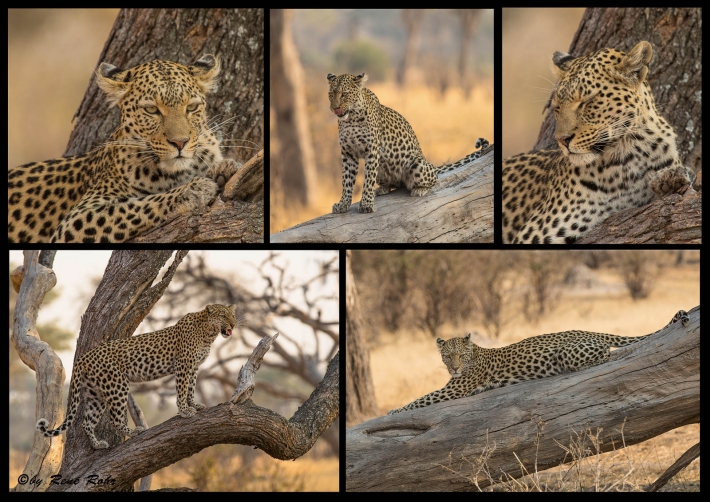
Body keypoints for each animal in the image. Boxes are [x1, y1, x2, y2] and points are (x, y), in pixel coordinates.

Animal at [8, 54, 240, 243]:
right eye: (151, 110)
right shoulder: (77, 218)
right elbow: (137, 205)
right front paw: (192, 191)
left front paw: (225, 168)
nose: (180, 142)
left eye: (191, 107)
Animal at [37, 304, 242, 449]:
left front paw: (194, 405)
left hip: (96, 393)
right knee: (115, 418)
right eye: (223, 315)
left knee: (86, 423)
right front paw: (184, 410)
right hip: (117, 384)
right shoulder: (184, 365)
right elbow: (182, 388)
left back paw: (97, 445)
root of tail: (84, 356)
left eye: (233, 315)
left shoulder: (194, 367)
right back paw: (134, 432)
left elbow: (191, 387)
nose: (233, 324)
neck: (208, 334)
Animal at [327, 72, 491, 214]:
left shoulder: (372, 151)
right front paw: (343, 204)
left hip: (417, 164)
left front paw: (367, 204)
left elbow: (368, 179)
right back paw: (382, 189)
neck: (351, 119)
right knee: (394, 184)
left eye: (344, 94)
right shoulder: (348, 153)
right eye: (331, 94)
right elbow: (347, 180)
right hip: (382, 168)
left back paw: (420, 189)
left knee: (433, 179)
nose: (335, 108)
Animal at [387, 309, 689, 414]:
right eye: (447, 356)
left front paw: (392, 412)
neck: (475, 355)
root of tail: (586, 330)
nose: (454, 367)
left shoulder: (454, 389)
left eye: (460, 355)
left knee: (608, 353)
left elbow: (421, 399)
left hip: (567, 353)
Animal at [502, 41, 695, 244]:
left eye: (586, 102)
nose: (561, 140)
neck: (629, 155)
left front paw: (671, 179)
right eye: (557, 107)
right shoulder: (534, 234)